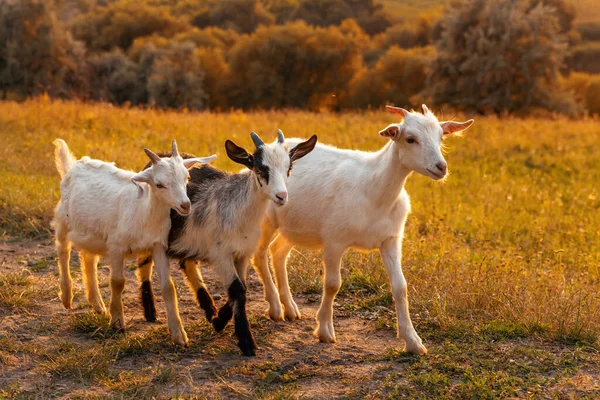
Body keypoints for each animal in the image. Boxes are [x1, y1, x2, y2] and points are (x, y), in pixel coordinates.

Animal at [52, 139, 216, 346]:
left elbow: (168, 287)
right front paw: (117, 322)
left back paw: (97, 304)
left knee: (88, 259)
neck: (143, 210)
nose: (185, 205)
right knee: (63, 251)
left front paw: (179, 334)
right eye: (159, 184)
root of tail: (74, 166)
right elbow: (117, 282)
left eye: (186, 178)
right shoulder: (116, 246)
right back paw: (67, 295)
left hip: (92, 232)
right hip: (63, 221)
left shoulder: (159, 246)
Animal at [134, 132, 316, 356]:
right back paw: (150, 310)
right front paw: (246, 342)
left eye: (289, 168)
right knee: (145, 263)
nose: (281, 196)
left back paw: (208, 306)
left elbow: (241, 286)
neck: (239, 210)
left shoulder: (242, 253)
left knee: (187, 263)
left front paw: (218, 320)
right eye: (260, 168)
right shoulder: (221, 254)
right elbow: (237, 289)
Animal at [252, 104, 474, 354]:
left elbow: (400, 287)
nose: (441, 167)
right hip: (266, 220)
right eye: (410, 139)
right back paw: (275, 308)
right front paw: (325, 330)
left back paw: (290, 308)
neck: (374, 189)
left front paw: (413, 341)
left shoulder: (390, 240)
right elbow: (332, 284)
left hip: (296, 227)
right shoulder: (334, 240)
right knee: (259, 254)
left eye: (440, 137)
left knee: (278, 252)